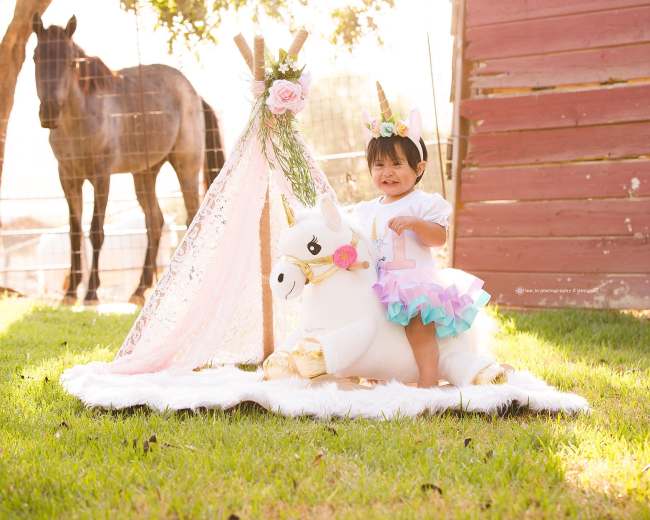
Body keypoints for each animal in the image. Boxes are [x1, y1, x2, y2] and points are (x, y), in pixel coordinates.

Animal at [32, 14, 225, 305]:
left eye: (69, 61)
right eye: (35, 57)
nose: (49, 113)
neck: (81, 118)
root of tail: (194, 94)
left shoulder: (102, 177)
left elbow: (96, 231)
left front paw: (91, 293)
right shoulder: (68, 177)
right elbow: (75, 233)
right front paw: (70, 293)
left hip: (186, 168)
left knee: (192, 217)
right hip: (144, 174)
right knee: (154, 222)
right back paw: (140, 290)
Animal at [263, 195, 508, 386]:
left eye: (313, 247)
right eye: (281, 245)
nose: (279, 280)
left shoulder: (360, 331)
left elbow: (335, 346)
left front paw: (309, 359)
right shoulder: (305, 328)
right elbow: (283, 351)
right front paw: (278, 362)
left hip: (451, 358)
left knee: (471, 369)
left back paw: (490, 376)